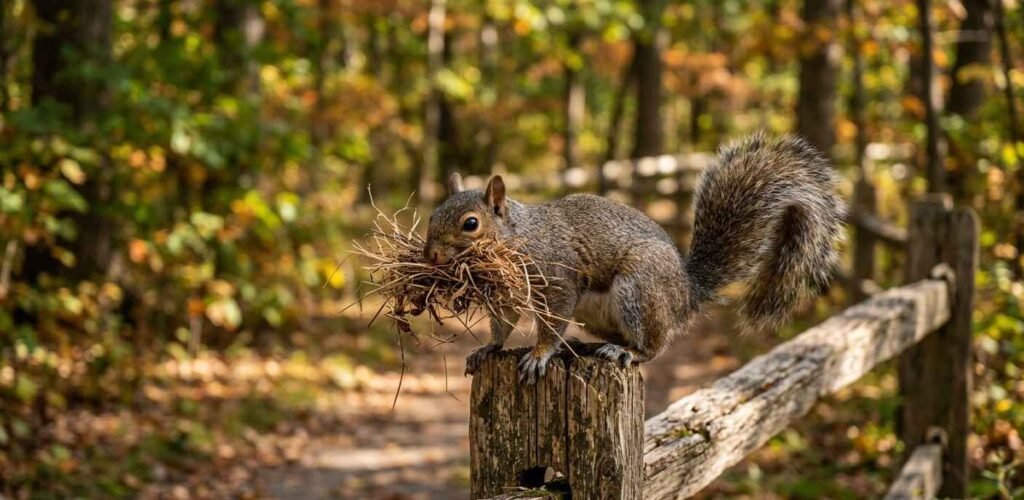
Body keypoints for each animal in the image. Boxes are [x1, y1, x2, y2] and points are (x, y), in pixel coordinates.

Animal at [423, 133, 846, 383]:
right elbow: (502, 325)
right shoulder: (505, 297)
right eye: (432, 214)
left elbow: (551, 322)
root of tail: (686, 294)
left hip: (639, 287)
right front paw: (489, 349)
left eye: (471, 224)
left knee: (653, 346)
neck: (518, 236)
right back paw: (589, 347)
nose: (431, 256)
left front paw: (539, 355)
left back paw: (626, 351)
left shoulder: (557, 279)